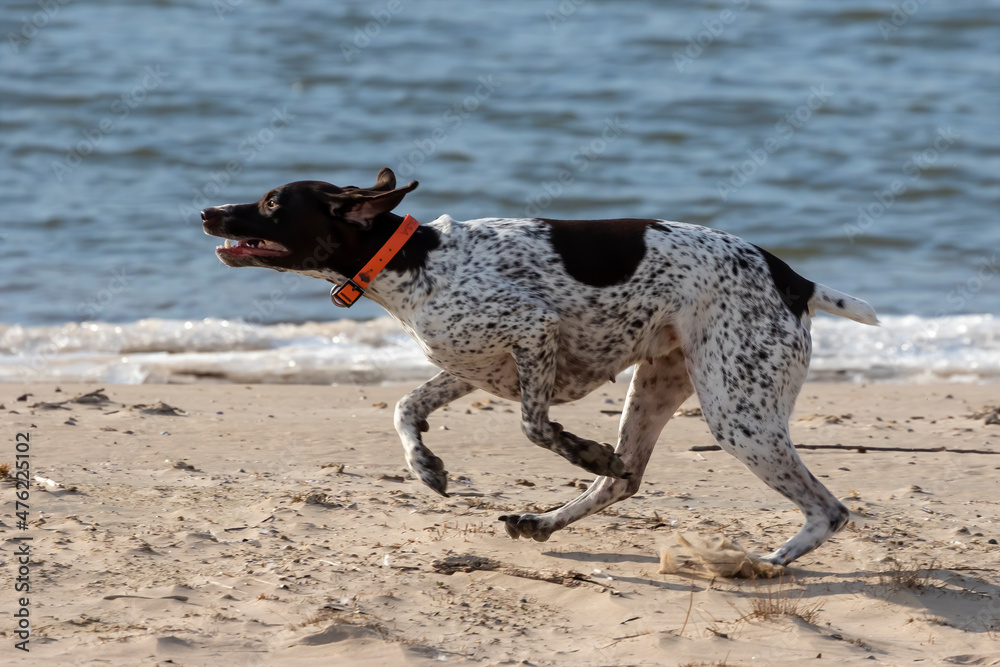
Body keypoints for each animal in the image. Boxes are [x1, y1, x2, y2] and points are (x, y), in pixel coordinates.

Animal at [203, 168, 876, 568]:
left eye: (271, 202)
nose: (207, 211)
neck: (416, 261)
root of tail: (794, 278)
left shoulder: (533, 330)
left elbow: (535, 426)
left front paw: (583, 450)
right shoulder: (470, 366)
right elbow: (405, 408)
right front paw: (425, 466)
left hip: (739, 416)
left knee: (829, 511)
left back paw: (762, 565)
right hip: (660, 386)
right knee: (624, 481)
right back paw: (543, 521)